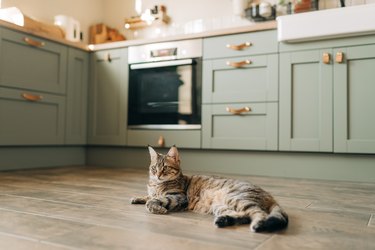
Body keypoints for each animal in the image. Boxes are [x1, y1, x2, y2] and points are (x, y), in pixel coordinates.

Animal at [131, 146, 290, 233]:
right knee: (244, 216)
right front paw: (137, 198)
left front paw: (157, 208)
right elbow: (148, 196)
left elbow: (153, 201)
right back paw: (223, 221)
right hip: (220, 206)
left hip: (236, 199)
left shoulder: (179, 197)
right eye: (154, 168)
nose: (157, 175)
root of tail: (268, 195)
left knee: (258, 213)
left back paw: (257, 225)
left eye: (164, 168)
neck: (156, 185)